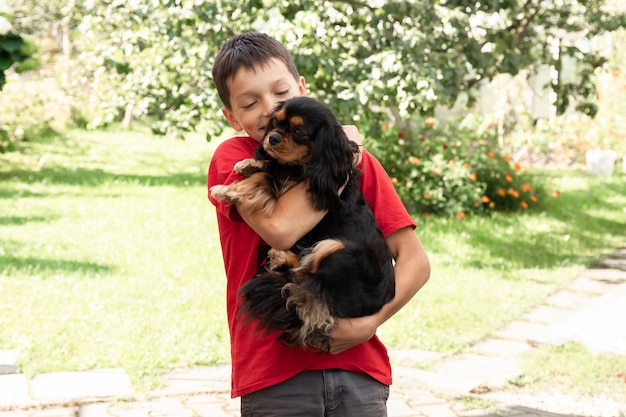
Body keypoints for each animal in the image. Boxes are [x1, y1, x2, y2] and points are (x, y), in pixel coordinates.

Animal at [210, 96, 394, 352]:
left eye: (298, 131)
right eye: (275, 123)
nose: (272, 138)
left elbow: (264, 178)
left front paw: (228, 191)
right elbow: (268, 170)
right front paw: (250, 163)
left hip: (336, 248)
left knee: (308, 277)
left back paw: (281, 257)